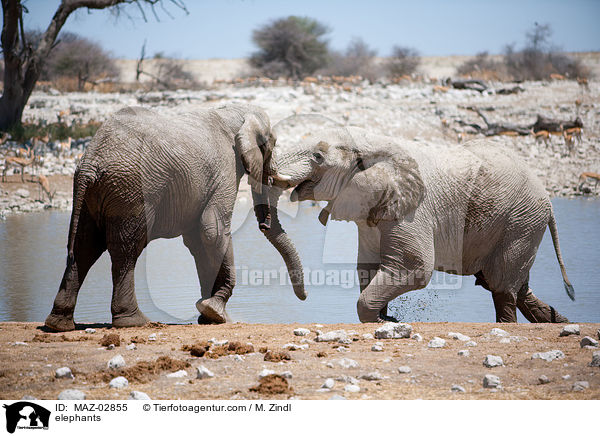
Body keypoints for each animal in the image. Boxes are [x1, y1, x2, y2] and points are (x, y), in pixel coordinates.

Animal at [44, 104, 304, 332]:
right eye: (273, 144)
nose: (264, 224)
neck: (233, 111)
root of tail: (90, 164)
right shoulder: (225, 168)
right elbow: (213, 230)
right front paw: (217, 312)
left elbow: (198, 241)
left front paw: (208, 315)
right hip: (130, 190)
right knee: (126, 250)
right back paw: (134, 321)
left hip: (92, 195)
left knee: (84, 247)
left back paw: (58, 324)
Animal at [266, 126, 572, 324]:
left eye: (317, 157)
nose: (305, 297)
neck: (369, 141)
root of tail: (547, 200)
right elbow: (369, 268)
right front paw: (385, 319)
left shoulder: (413, 210)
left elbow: (413, 267)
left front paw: (384, 321)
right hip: (520, 223)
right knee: (515, 288)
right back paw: (560, 323)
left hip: (520, 222)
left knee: (501, 286)